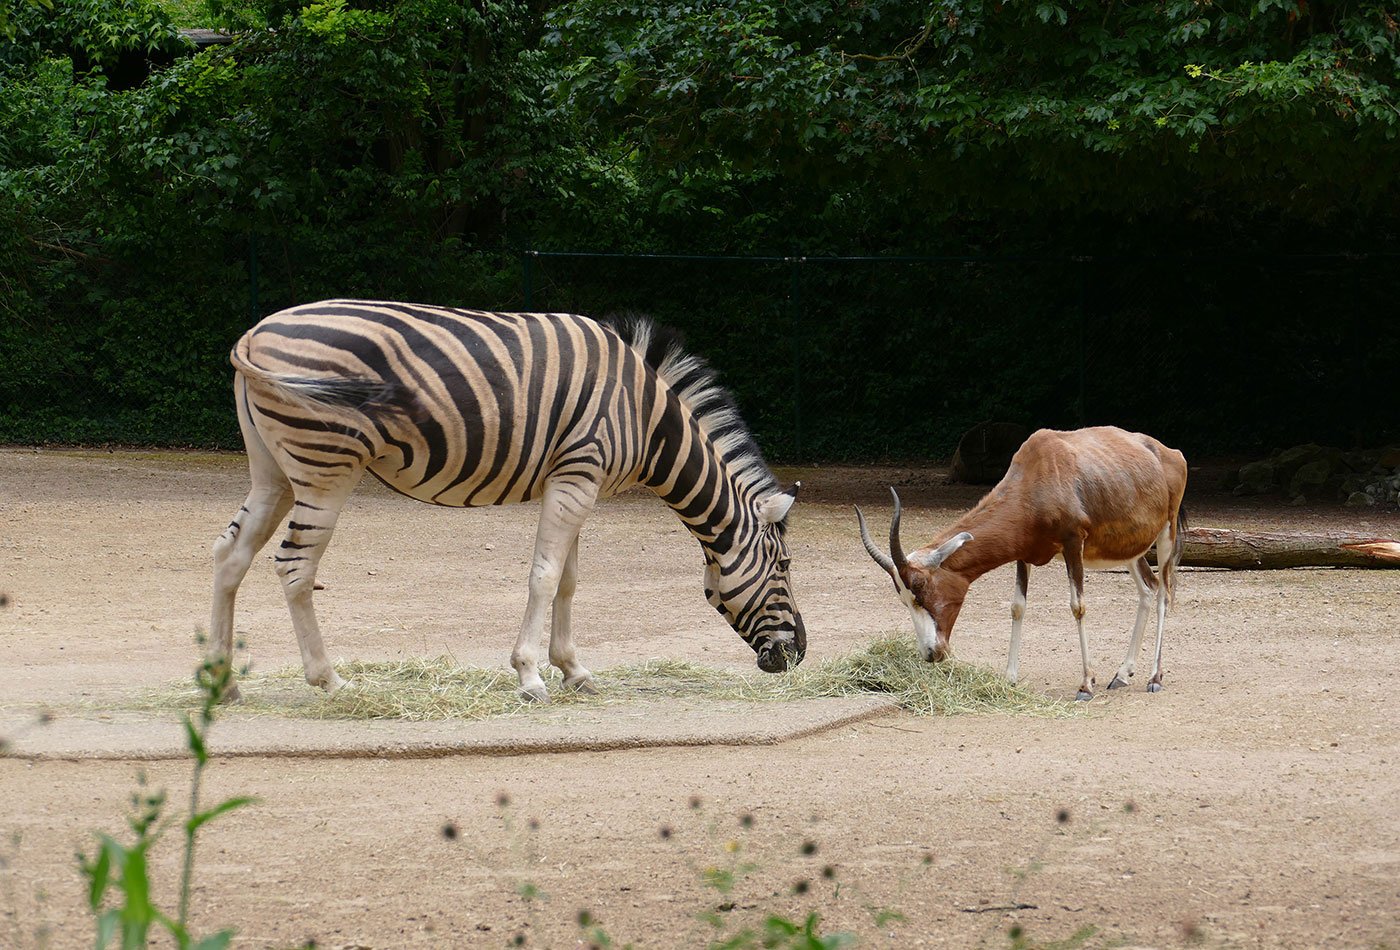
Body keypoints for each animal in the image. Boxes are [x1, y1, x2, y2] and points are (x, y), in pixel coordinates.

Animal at [203, 300, 806, 702]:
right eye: (783, 565)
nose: (798, 654)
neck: (648, 418)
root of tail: (253, 334)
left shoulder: (578, 481)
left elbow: (568, 580)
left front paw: (574, 670)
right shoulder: (577, 474)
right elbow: (545, 575)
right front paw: (531, 676)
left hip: (273, 472)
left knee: (230, 554)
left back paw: (221, 681)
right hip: (326, 466)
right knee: (295, 567)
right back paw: (330, 680)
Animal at [856, 428, 1187, 702]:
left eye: (921, 587)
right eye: (903, 598)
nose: (930, 653)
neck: (1040, 471)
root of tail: (1169, 452)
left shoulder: (1073, 543)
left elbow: (1077, 606)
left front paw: (1085, 686)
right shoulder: (1022, 554)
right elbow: (1017, 607)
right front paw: (1009, 679)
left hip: (1165, 534)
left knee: (1164, 593)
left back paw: (1155, 678)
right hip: (1130, 549)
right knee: (1148, 589)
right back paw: (1122, 675)